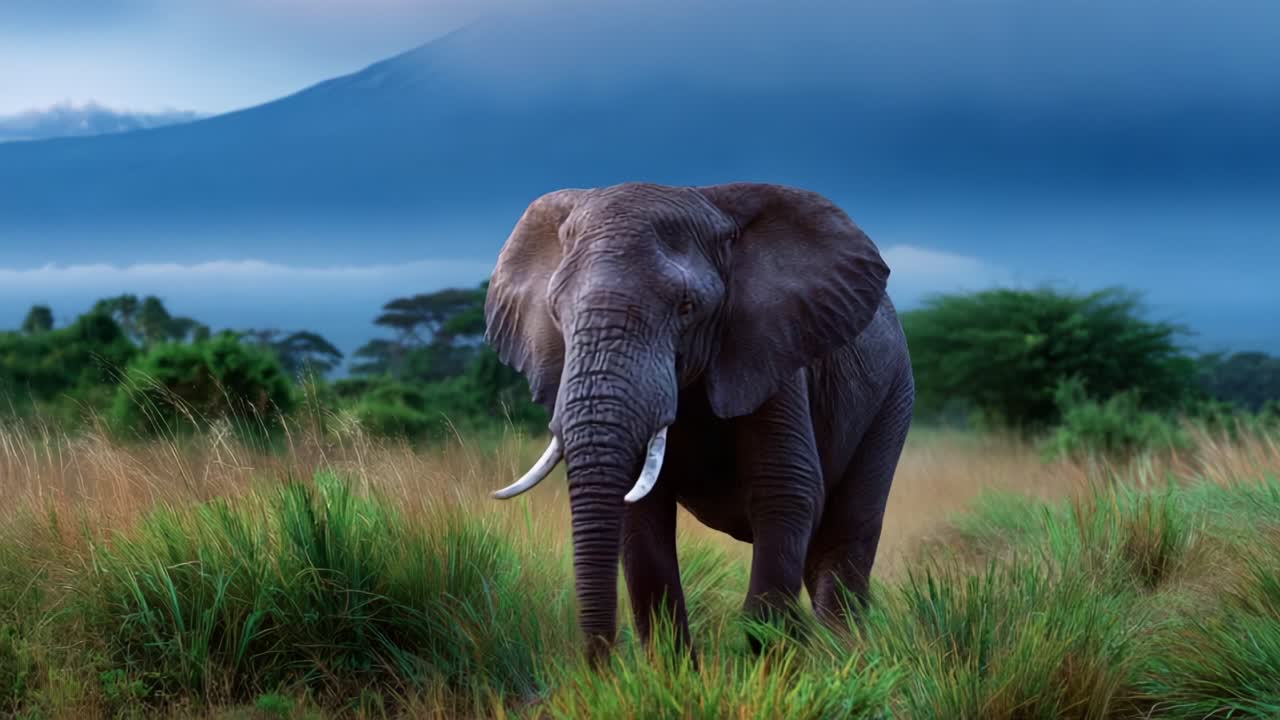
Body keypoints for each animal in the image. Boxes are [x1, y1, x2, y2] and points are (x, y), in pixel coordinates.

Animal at [485, 182, 914, 662]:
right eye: (556, 311)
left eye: (686, 306)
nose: (602, 665)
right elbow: (642, 521)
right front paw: (672, 672)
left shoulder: (771, 351)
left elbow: (786, 490)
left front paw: (772, 668)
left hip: (893, 395)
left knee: (846, 538)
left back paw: (841, 659)